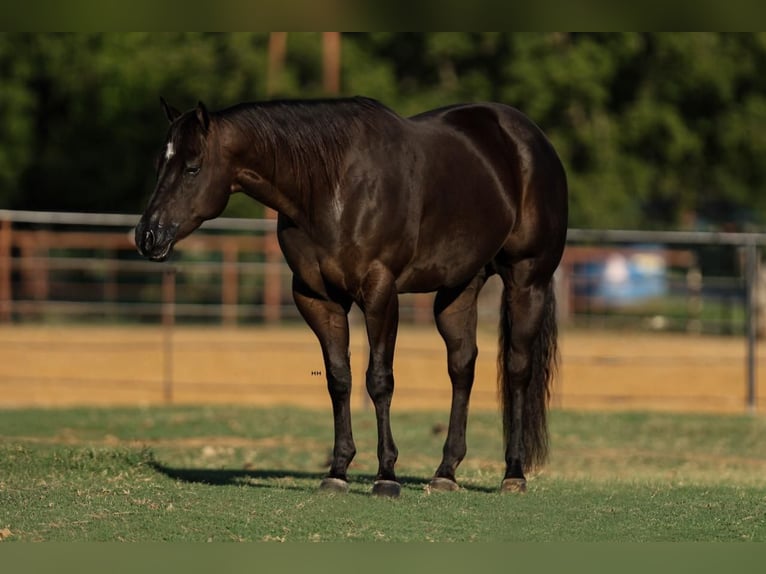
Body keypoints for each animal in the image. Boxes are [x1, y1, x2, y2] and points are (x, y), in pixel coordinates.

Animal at [136, 95, 568, 500]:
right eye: (159, 165)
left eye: (192, 167)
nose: (147, 235)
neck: (333, 189)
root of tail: (533, 140)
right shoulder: (316, 299)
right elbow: (338, 379)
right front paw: (338, 471)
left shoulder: (380, 291)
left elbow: (378, 380)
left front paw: (386, 475)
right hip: (458, 289)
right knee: (462, 366)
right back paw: (445, 472)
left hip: (527, 280)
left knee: (517, 369)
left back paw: (513, 473)